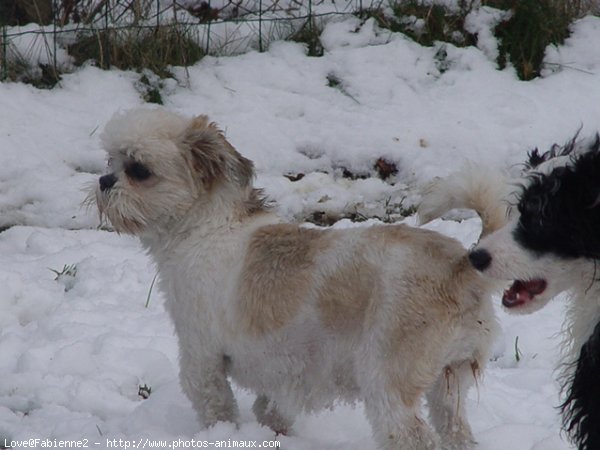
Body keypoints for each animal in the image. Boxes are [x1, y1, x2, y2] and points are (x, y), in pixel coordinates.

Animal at [92, 108, 506, 450]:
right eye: (110, 159)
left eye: (138, 169)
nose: (104, 179)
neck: (207, 227)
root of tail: (462, 266)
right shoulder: (285, 374)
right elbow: (271, 409)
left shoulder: (201, 357)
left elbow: (216, 406)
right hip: (448, 386)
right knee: (456, 432)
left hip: (389, 383)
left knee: (413, 437)